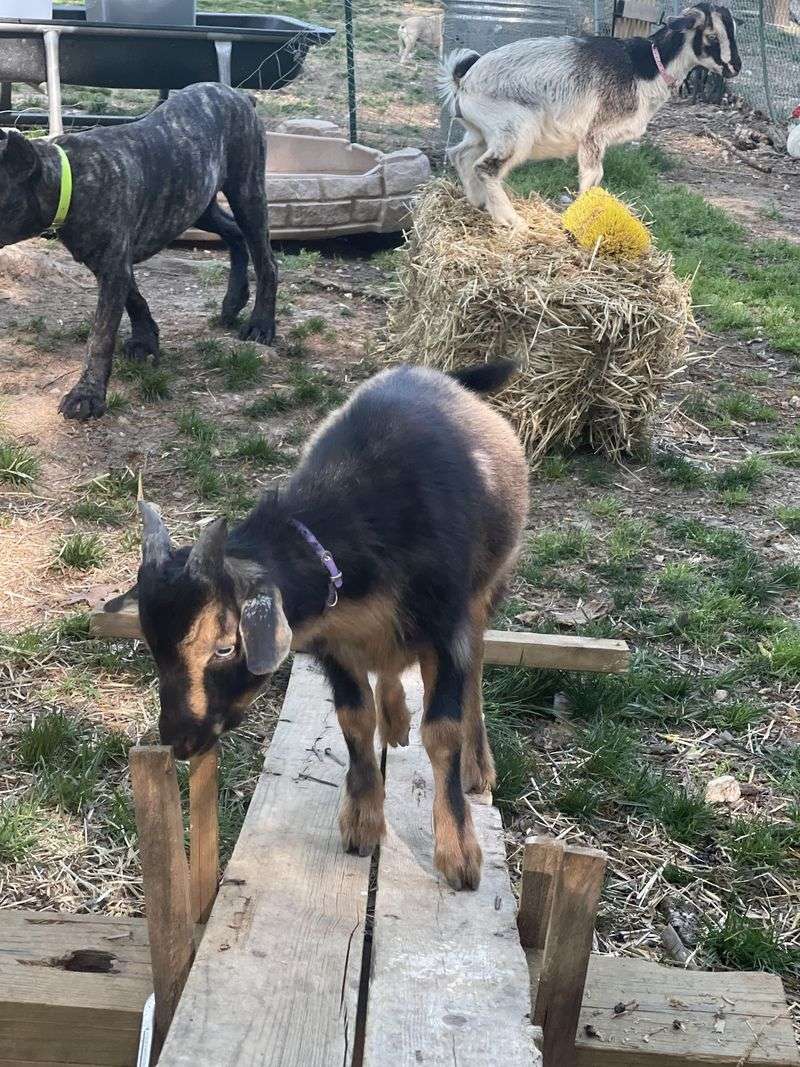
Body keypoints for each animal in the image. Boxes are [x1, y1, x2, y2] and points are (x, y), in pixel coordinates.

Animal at [109, 362, 529, 891]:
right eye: (152, 645)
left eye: (225, 647)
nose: (178, 741)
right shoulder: (337, 643)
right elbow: (355, 719)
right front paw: (362, 823)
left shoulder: (444, 630)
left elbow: (442, 730)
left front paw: (460, 854)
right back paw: (395, 718)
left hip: (486, 592)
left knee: (475, 668)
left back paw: (477, 765)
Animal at [440, 3, 740, 229]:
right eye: (712, 36)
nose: (735, 67)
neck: (645, 68)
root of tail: (462, 81)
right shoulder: (595, 133)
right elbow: (592, 175)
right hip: (515, 129)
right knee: (486, 168)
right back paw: (513, 221)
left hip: (481, 132)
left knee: (460, 154)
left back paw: (478, 203)